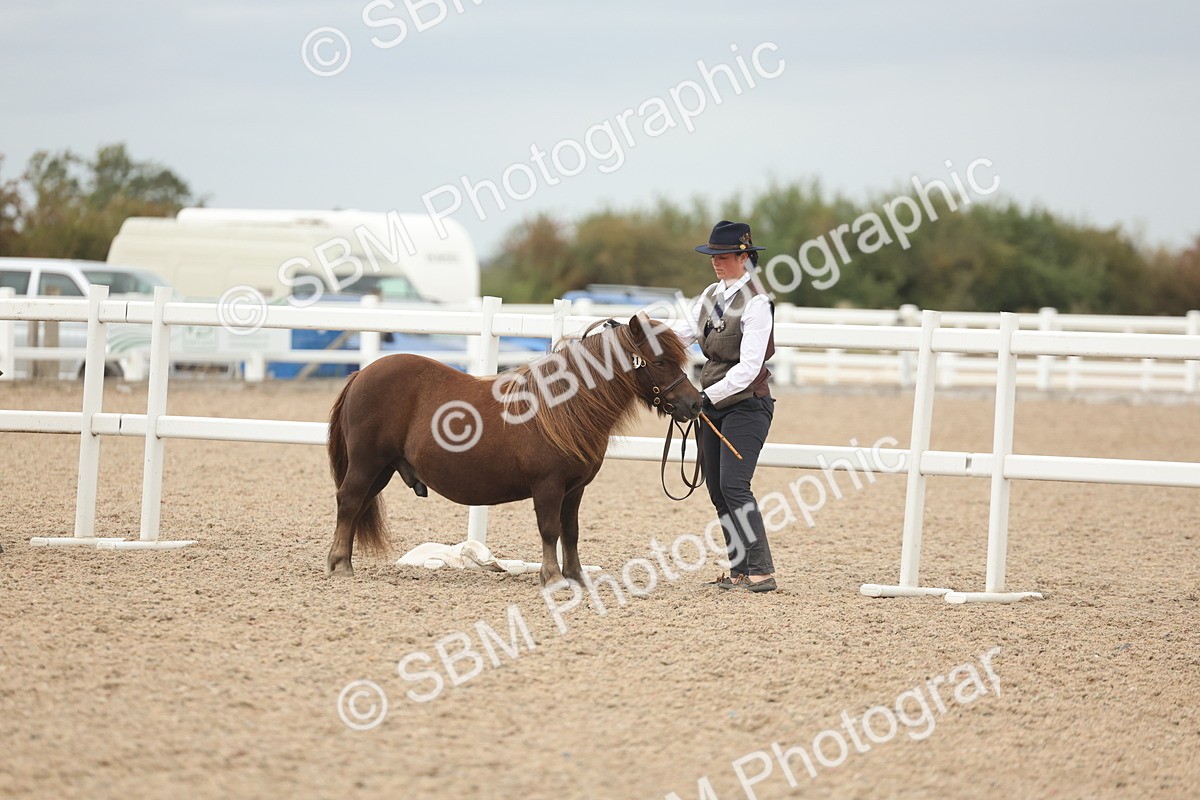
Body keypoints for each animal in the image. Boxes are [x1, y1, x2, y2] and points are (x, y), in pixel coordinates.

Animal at [326, 313, 703, 585]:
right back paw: (340, 565)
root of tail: (361, 374)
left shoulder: (574, 490)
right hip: (367, 463)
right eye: (660, 362)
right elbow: (550, 530)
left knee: (357, 506)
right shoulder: (548, 486)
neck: (565, 407)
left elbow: (571, 532)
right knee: (349, 502)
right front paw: (553, 577)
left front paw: (577, 577)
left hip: (383, 469)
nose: (695, 404)